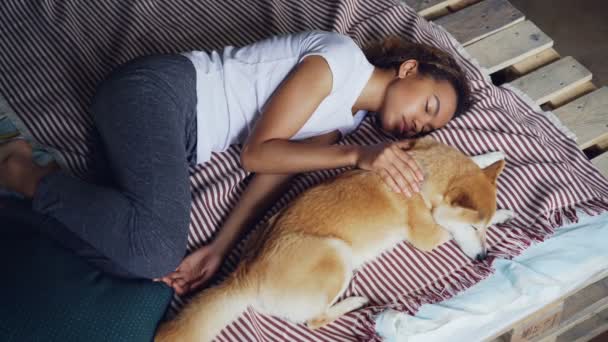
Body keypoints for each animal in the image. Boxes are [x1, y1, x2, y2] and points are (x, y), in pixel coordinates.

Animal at [153, 137, 512, 342]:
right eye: (474, 230)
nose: (484, 258)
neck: (427, 170)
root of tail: (246, 273)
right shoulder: (426, 234)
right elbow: (443, 226)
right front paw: (503, 214)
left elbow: (473, 162)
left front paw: (491, 159)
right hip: (337, 256)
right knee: (315, 320)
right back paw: (356, 303)